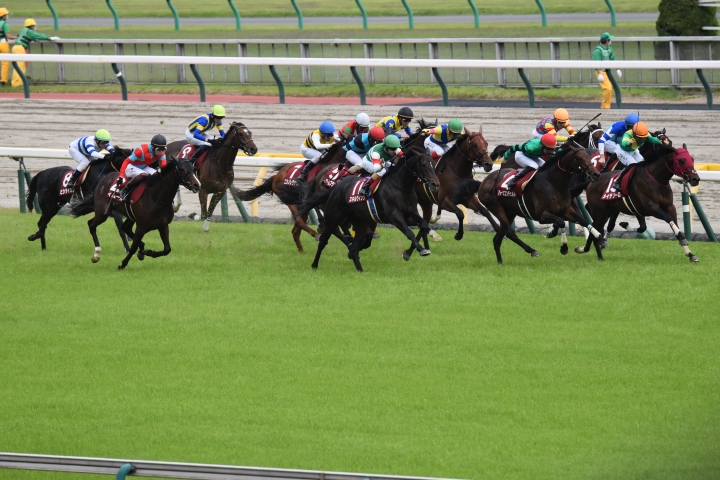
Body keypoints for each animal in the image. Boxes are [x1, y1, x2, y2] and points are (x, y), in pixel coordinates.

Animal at [69, 158, 201, 268]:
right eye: (182, 169)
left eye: (193, 168)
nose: (197, 185)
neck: (157, 197)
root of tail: (105, 178)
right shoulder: (141, 226)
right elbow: (132, 247)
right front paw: (123, 264)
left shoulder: (163, 225)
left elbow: (167, 249)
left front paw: (148, 251)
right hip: (103, 212)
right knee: (91, 224)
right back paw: (97, 254)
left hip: (129, 216)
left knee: (125, 227)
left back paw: (141, 249)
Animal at [296, 146, 438, 272]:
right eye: (423, 165)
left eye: (433, 164)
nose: (435, 184)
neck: (400, 186)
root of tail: (337, 185)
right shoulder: (395, 216)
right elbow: (409, 233)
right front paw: (420, 250)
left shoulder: (409, 214)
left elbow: (423, 224)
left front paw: (412, 251)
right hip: (333, 216)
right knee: (325, 239)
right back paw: (314, 265)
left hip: (360, 222)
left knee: (354, 245)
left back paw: (359, 266)